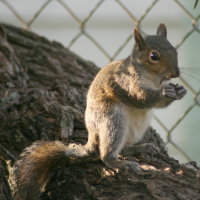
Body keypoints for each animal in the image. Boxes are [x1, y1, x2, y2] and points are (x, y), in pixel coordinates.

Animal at [11, 23, 186, 198]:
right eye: (154, 56)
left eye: (175, 50)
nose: (175, 73)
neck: (153, 78)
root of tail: (92, 133)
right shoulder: (126, 82)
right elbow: (140, 98)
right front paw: (164, 92)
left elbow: (159, 105)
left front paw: (179, 91)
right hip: (113, 119)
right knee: (106, 154)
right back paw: (121, 163)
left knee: (124, 147)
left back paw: (141, 147)